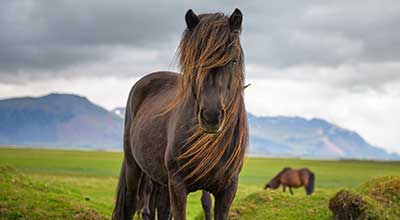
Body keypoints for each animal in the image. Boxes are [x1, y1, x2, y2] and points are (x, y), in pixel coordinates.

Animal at [111, 7, 247, 219]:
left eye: (233, 60)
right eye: (195, 61)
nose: (211, 116)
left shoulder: (228, 188)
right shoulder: (177, 185)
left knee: (161, 208)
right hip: (135, 168)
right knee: (131, 204)